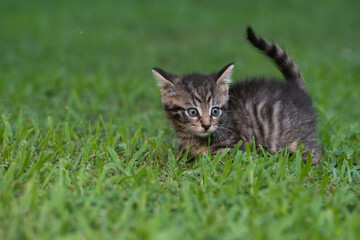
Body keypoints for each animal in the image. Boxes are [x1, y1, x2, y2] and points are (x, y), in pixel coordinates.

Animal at [153, 26, 322, 165]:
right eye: (192, 112)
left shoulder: (231, 148)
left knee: (315, 152)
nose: (207, 125)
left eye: (215, 111)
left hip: (297, 138)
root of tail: (295, 88)